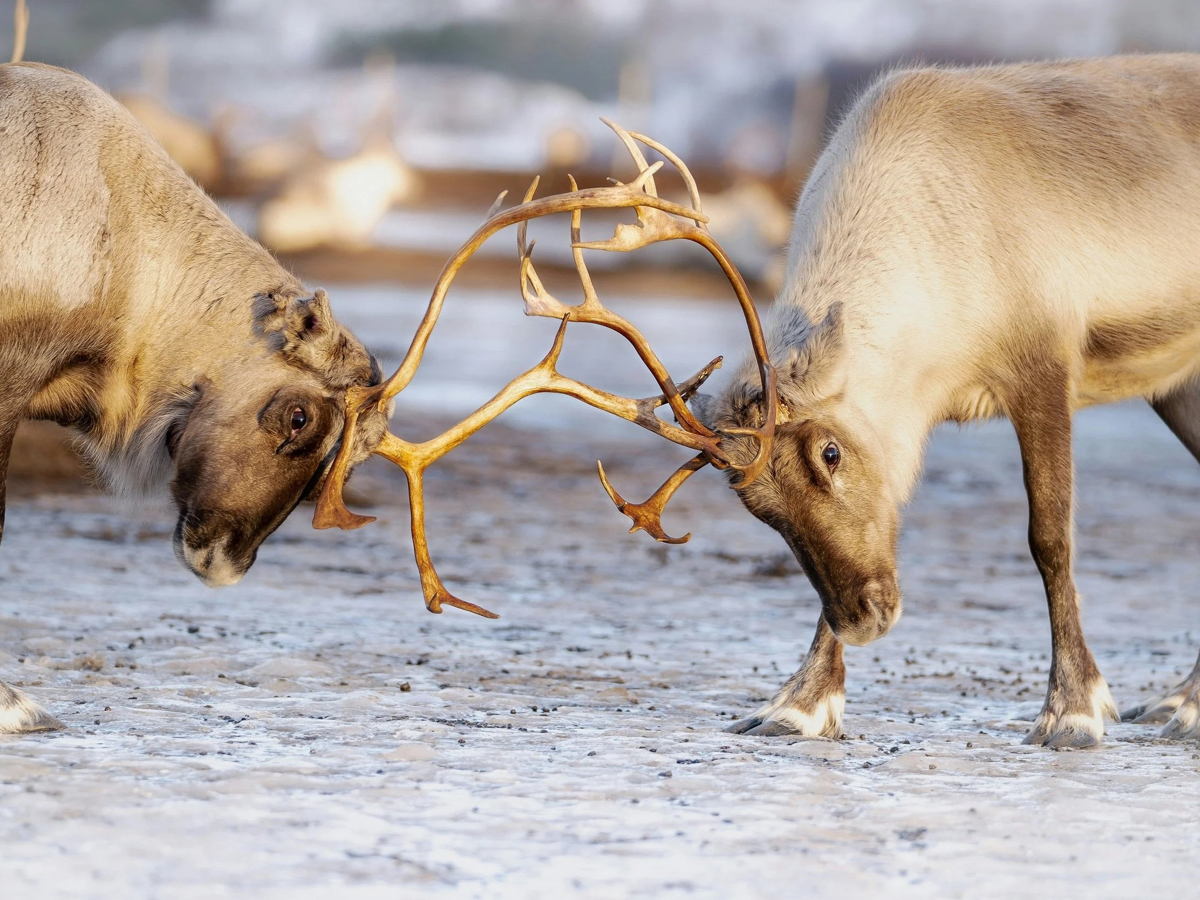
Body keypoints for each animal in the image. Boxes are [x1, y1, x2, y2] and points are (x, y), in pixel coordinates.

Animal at [317, 59, 1200, 751]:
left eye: (831, 452)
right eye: (758, 509)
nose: (868, 616)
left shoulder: (1044, 363)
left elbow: (1049, 537)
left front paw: (1073, 710)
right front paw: (799, 705)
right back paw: (1183, 701)